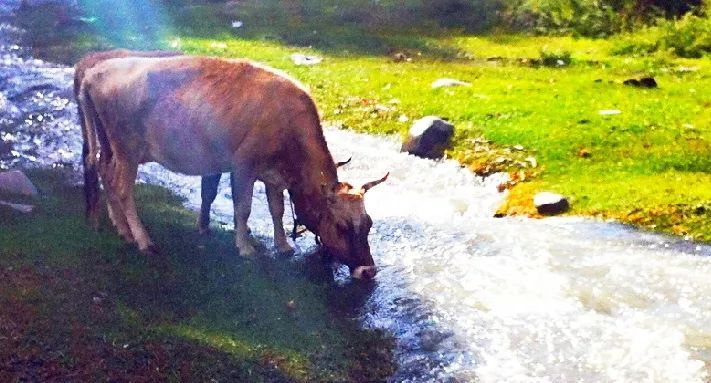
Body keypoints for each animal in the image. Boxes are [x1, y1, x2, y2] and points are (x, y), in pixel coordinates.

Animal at [78, 56, 386, 280]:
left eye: (369, 224)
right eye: (341, 226)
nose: (368, 270)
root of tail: (96, 71)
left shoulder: (273, 177)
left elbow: (276, 209)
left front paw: (283, 245)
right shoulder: (243, 167)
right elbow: (243, 208)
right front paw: (245, 247)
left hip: (110, 146)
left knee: (105, 172)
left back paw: (121, 228)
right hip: (127, 149)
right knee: (122, 188)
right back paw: (142, 240)